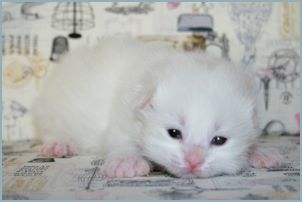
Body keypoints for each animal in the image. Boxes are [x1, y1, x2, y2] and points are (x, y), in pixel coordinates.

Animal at [31, 37, 282, 177]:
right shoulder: (122, 115)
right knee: (52, 128)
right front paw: (126, 161)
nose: (193, 161)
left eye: (219, 140)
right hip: (54, 109)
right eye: (174, 133)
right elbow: (120, 140)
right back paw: (58, 144)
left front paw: (260, 152)